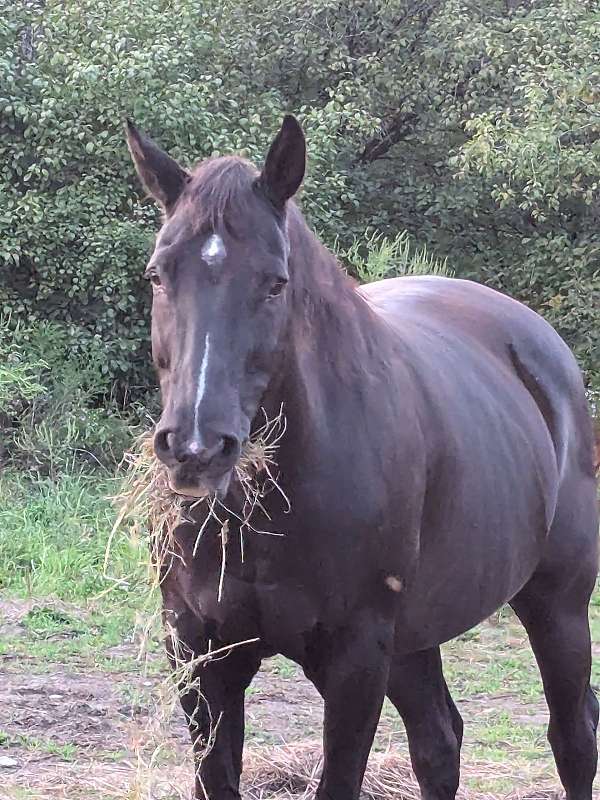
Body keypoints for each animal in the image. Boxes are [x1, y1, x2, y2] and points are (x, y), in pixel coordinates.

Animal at [124, 114, 596, 800]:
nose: (196, 448)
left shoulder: (356, 660)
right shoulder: (201, 655)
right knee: (439, 742)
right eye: (159, 274)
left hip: (557, 604)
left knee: (573, 739)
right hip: (416, 638)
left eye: (276, 283)